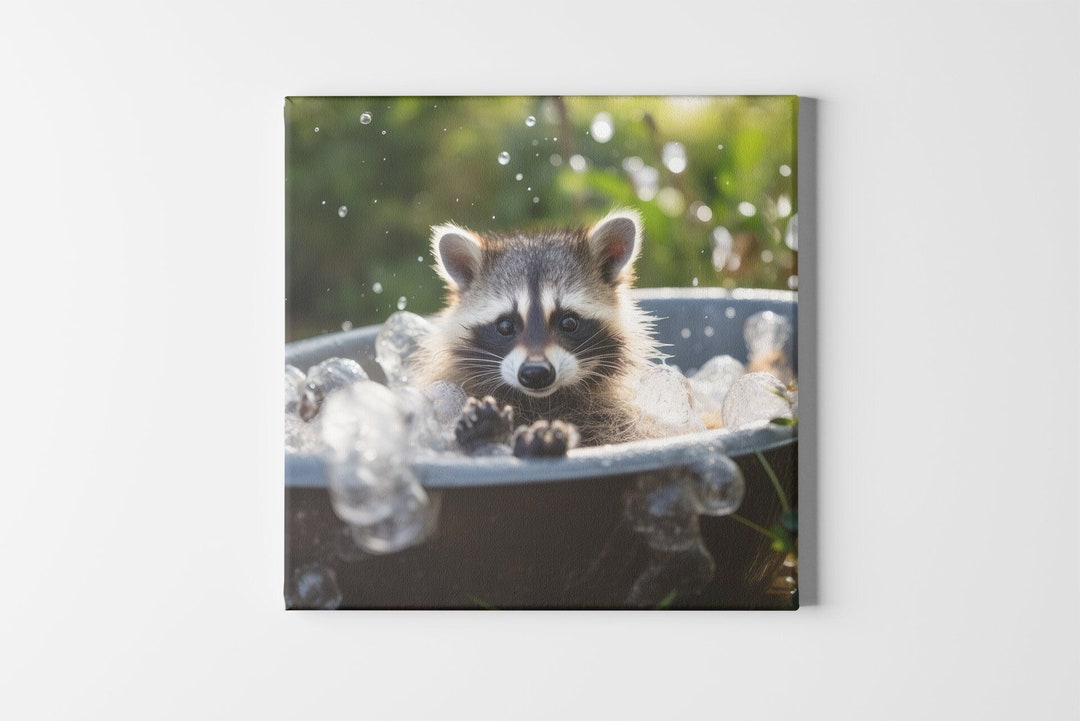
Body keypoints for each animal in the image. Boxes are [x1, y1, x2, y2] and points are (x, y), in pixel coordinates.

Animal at [415, 208, 661, 451]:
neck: (540, 401)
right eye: (505, 326)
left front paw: (543, 438)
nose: (535, 373)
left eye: (568, 323)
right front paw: (485, 428)